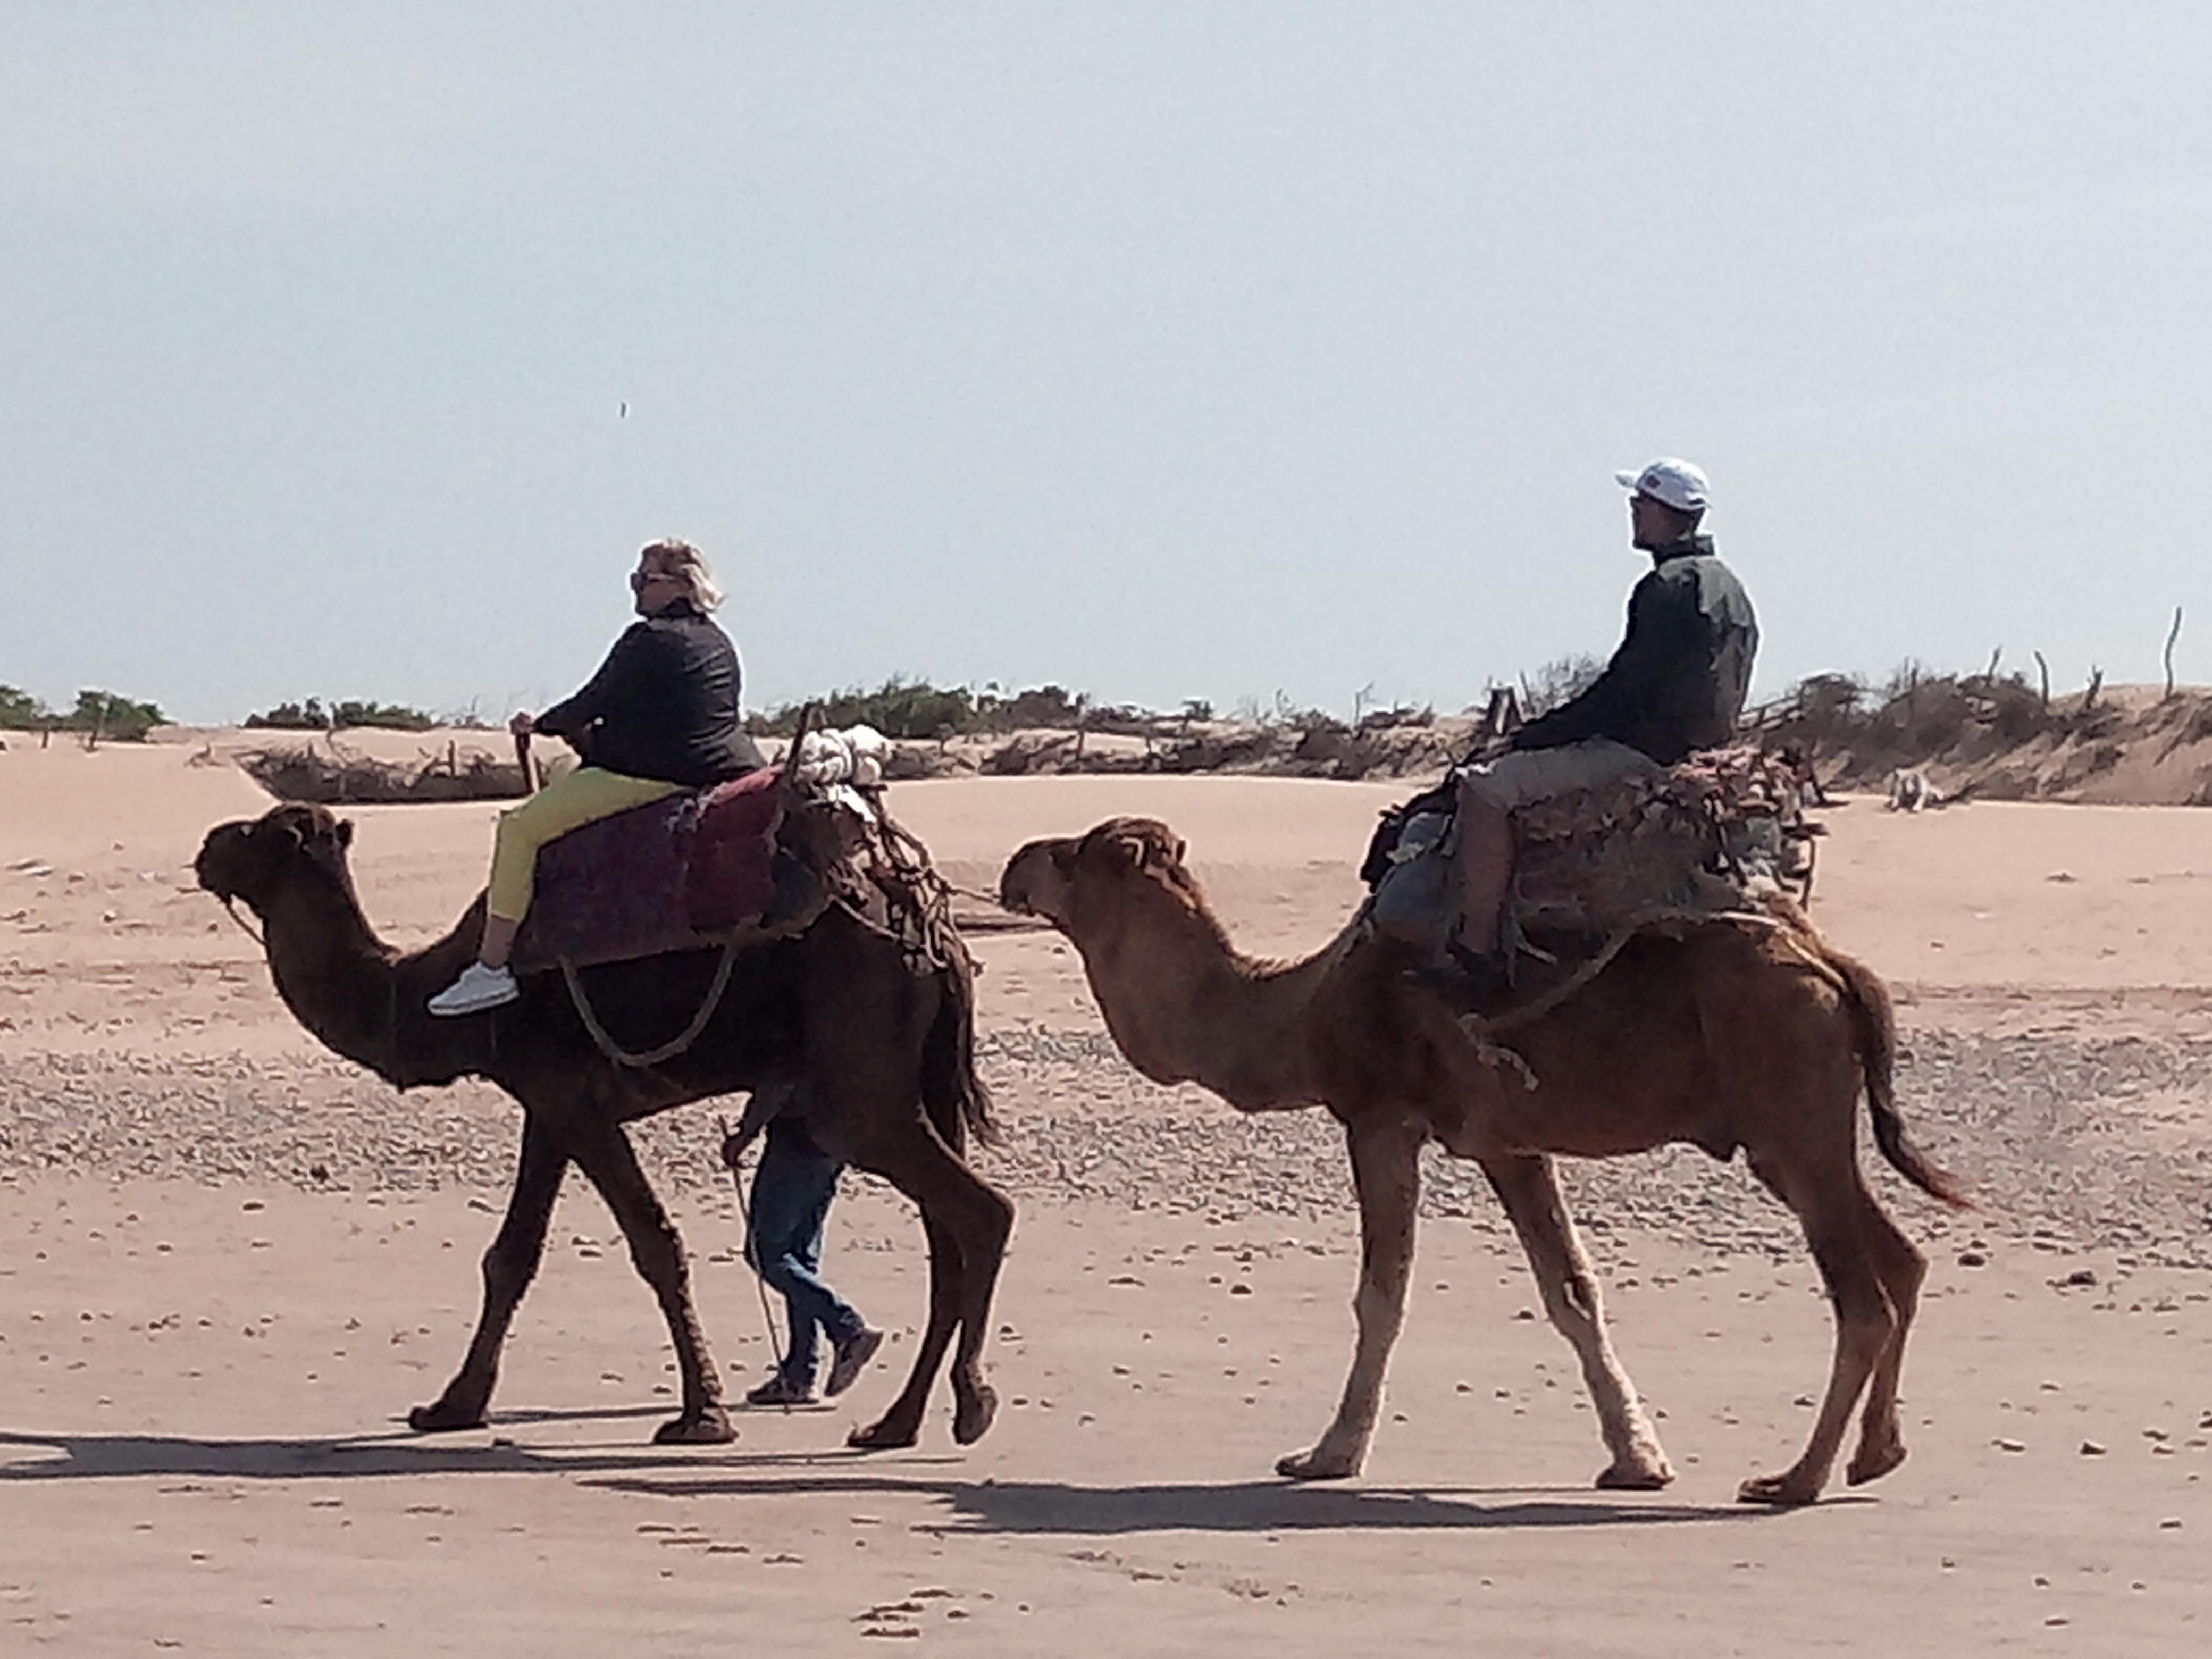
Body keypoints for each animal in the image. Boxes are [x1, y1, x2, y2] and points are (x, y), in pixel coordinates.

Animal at [195, 805, 1013, 1451]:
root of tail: (932, 931)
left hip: (860, 1089)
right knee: (947, 1238)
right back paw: (895, 1424)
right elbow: (512, 1257)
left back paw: (970, 1405)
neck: (426, 995)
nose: (206, 845)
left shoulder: (575, 1101)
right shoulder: (548, 1107)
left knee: (981, 1212)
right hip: (920, 1083)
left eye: (264, 833)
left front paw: (701, 1416)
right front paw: (452, 1406)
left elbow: (654, 1245)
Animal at [1004, 818, 1973, 1504]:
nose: (1017, 862)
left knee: (1864, 1296)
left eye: (1084, 852)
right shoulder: (1511, 1143)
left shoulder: (1381, 1118)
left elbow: (1382, 1294)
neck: (1302, 1009)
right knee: (1903, 1259)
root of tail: (1832, 963)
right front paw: (1638, 1458)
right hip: (1798, 1130)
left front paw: (1328, 1454)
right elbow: (1572, 1290)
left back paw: (1792, 1479)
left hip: (1789, 1105)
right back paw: (1876, 1455)